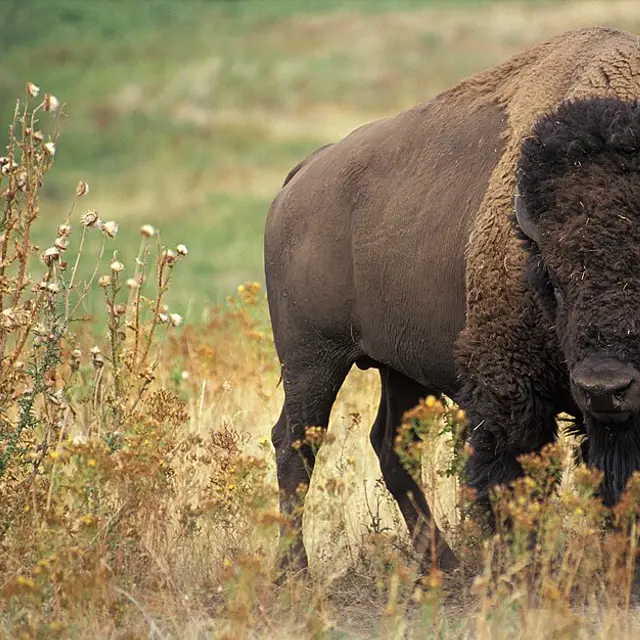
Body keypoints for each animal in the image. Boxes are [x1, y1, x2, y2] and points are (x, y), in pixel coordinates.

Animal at [264, 26, 640, 573]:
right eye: (552, 278)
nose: (604, 387)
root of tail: (303, 174)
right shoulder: (509, 391)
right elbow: (509, 478)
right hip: (312, 358)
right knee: (295, 443)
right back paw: (295, 571)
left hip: (397, 365)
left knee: (388, 444)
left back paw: (443, 564)